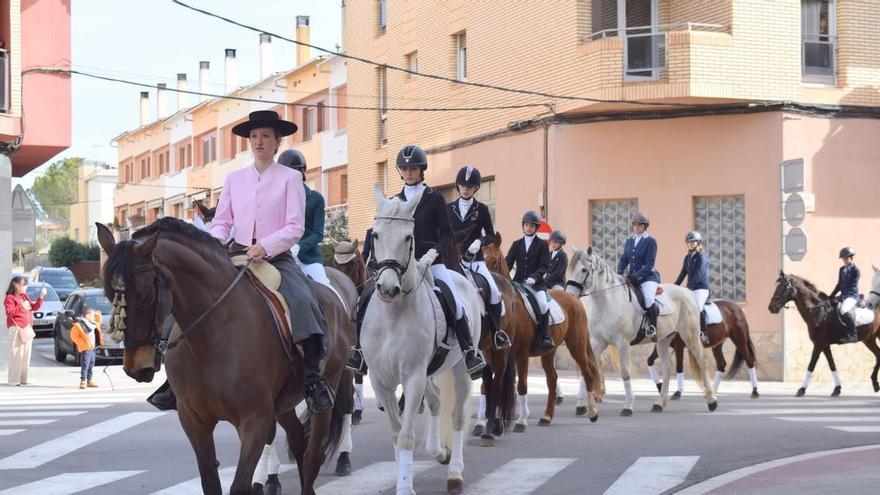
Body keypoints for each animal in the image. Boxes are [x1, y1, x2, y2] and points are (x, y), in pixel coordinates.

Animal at [97, 221, 354, 495]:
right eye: (108, 293)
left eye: (146, 296)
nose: (136, 367)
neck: (211, 337)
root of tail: (334, 296)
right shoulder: (193, 420)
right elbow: (210, 482)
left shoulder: (255, 420)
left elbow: (241, 485)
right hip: (283, 403)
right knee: (298, 442)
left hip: (328, 387)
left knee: (313, 454)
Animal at [360, 186, 478, 495]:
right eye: (376, 235)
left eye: (407, 237)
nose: (387, 289)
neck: (393, 314)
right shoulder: (381, 380)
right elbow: (395, 431)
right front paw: (401, 477)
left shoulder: (413, 376)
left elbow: (406, 436)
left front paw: (405, 487)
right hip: (427, 372)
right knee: (436, 402)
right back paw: (439, 452)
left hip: (460, 367)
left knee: (457, 415)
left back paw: (454, 473)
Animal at [568, 247, 720, 414]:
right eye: (571, 269)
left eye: (583, 270)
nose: (569, 295)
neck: (608, 302)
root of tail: (687, 292)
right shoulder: (597, 342)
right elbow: (587, 370)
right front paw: (581, 406)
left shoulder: (622, 343)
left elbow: (625, 373)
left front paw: (628, 406)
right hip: (664, 340)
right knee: (668, 368)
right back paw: (659, 403)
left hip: (690, 335)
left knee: (702, 362)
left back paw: (712, 401)